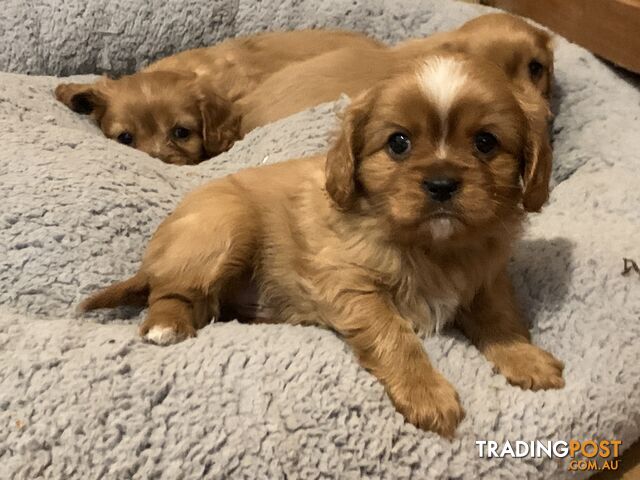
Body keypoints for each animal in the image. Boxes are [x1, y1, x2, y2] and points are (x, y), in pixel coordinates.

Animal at [81, 51, 564, 436]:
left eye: (485, 142)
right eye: (399, 143)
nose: (442, 183)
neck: (434, 247)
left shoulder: (488, 277)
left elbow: (501, 317)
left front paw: (526, 358)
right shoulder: (351, 285)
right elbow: (396, 337)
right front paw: (427, 393)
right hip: (224, 228)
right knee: (170, 290)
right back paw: (166, 326)